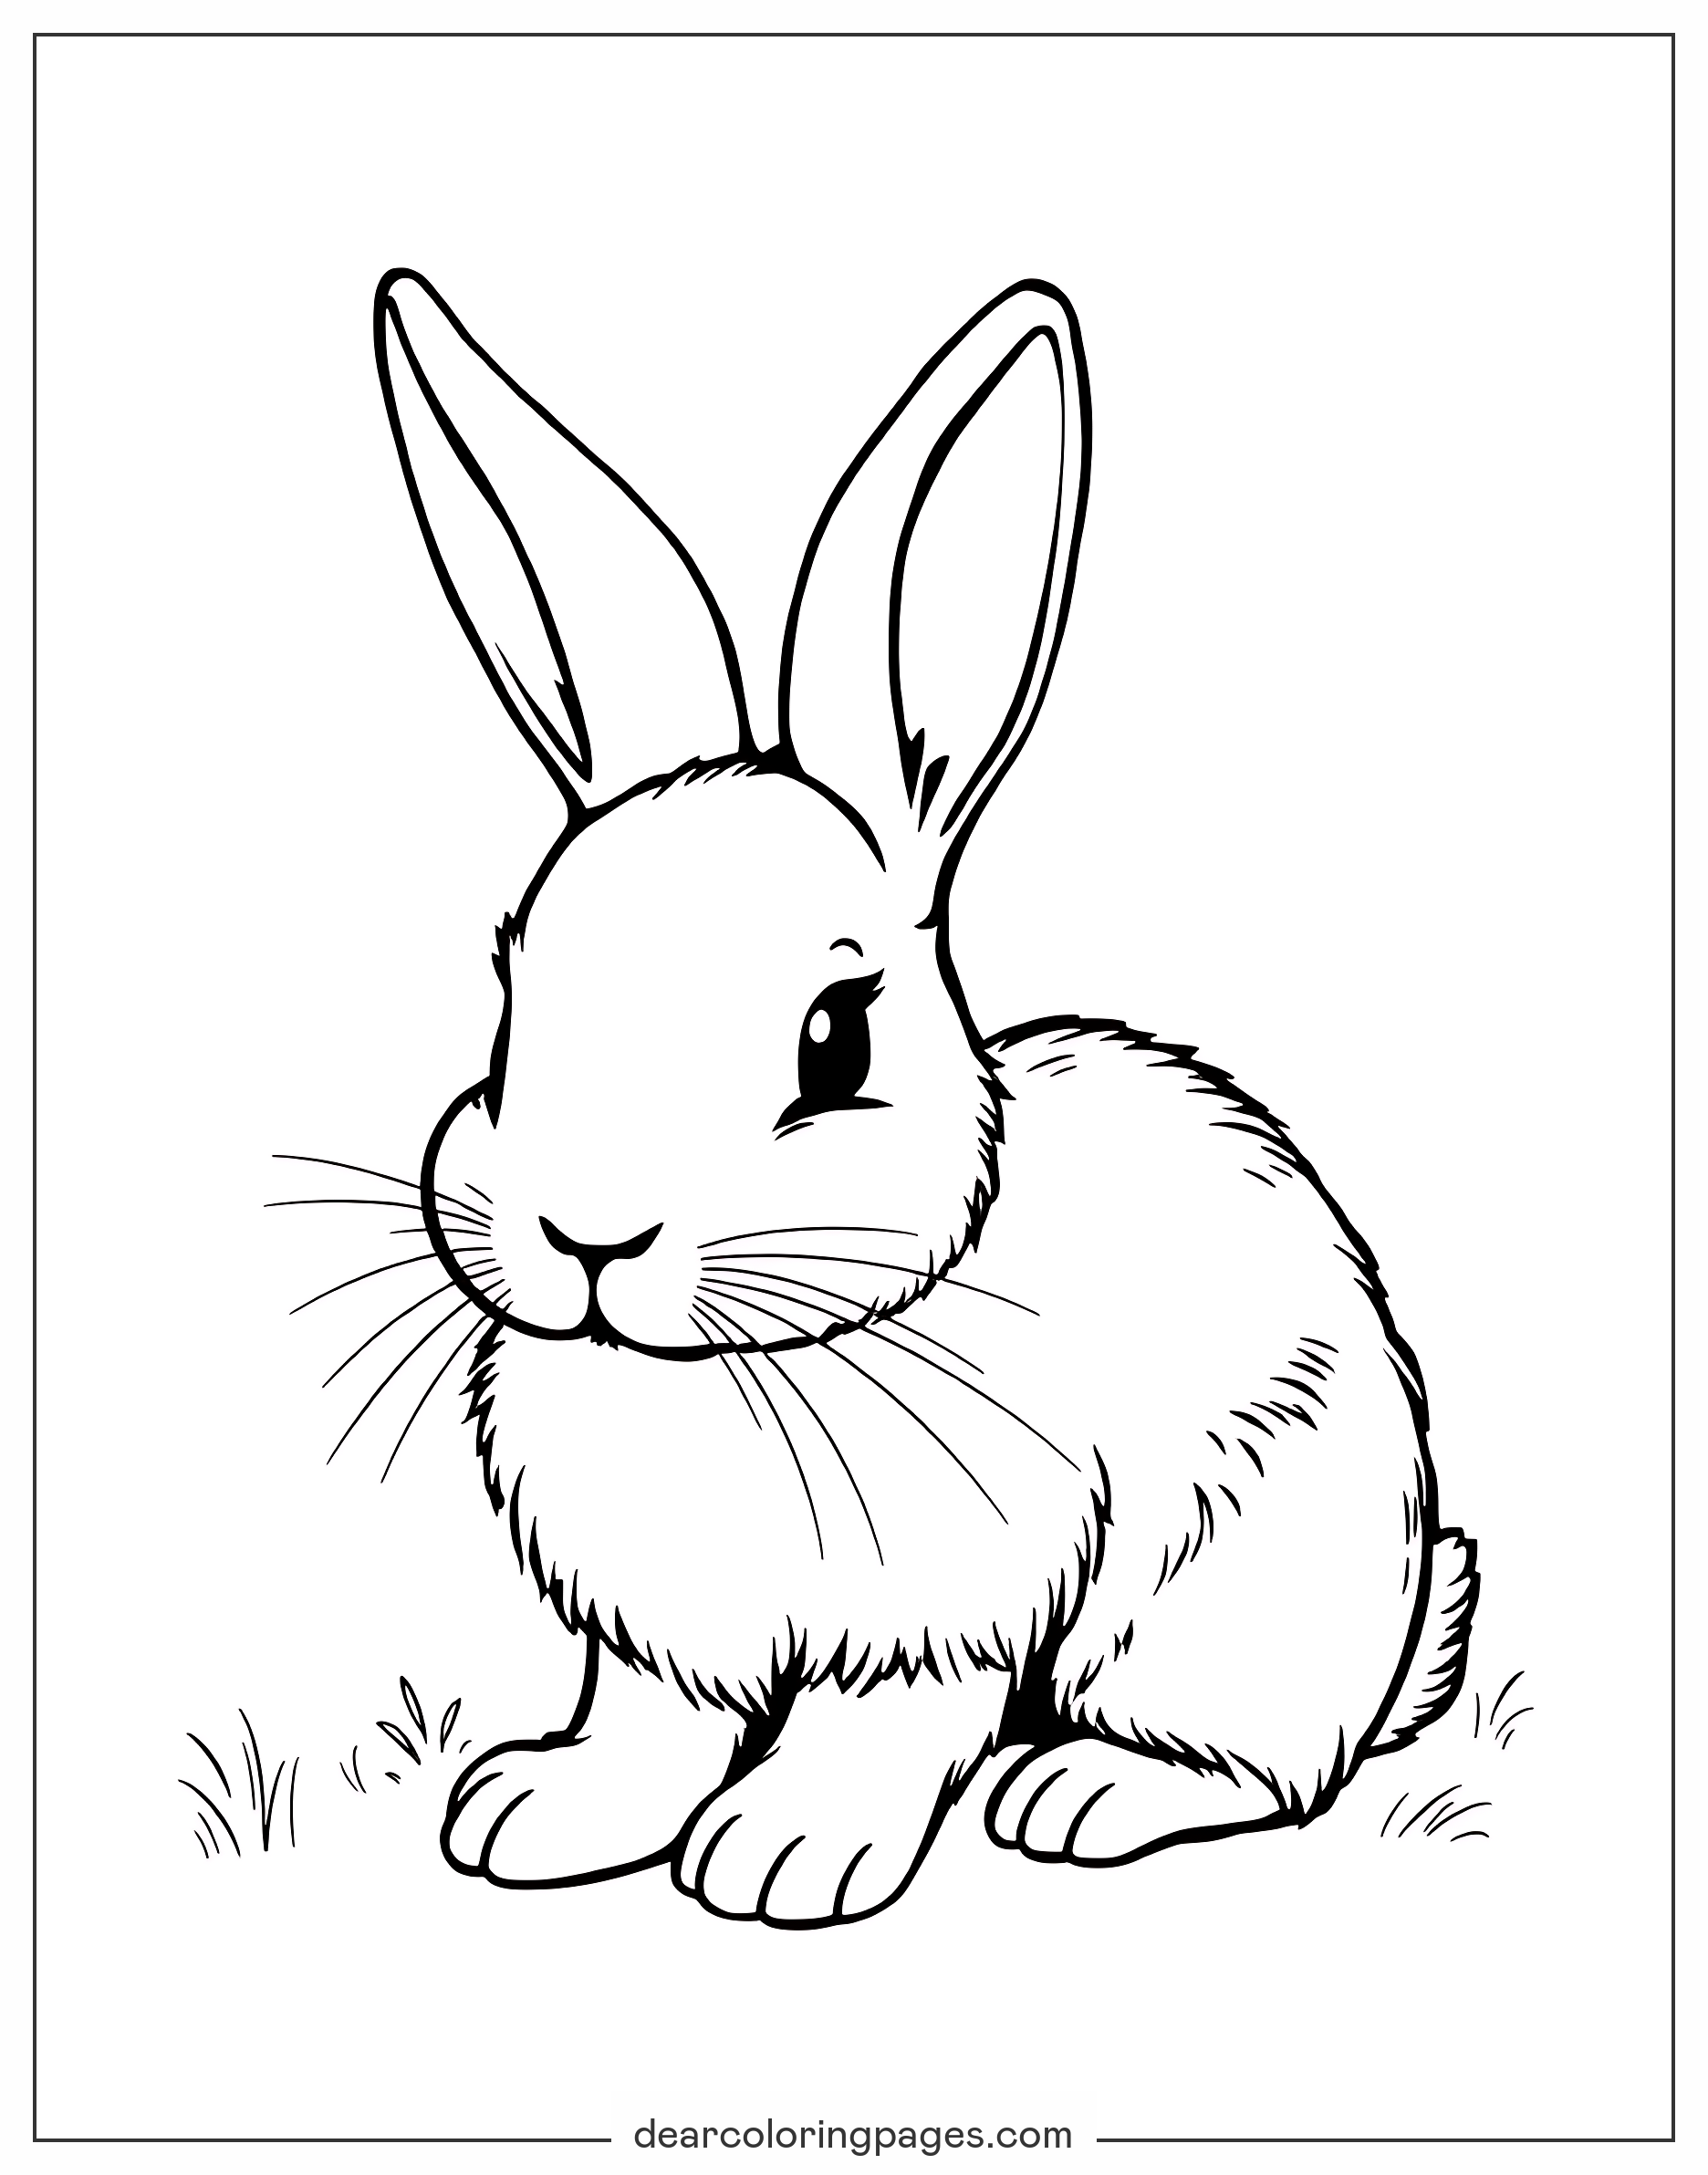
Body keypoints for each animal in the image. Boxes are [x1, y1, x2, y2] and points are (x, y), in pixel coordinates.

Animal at [363, 267, 1478, 1928]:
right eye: (513, 992)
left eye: (835, 1041)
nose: (589, 1237)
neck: (733, 1361)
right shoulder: (653, 1633)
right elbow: (646, 1722)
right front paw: (537, 1811)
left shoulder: (939, 1614)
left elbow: (874, 1728)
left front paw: (784, 1855)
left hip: (1218, 1602)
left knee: (1268, 1766)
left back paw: (1083, 1791)